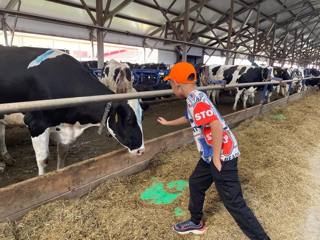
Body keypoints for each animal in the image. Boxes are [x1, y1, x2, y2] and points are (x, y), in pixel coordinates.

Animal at [0, 46, 144, 174]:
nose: (141, 150)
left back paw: (6, 158)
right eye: (129, 119)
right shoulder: (36, 124)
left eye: (142, 117)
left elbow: (62, 155)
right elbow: (42, 160)